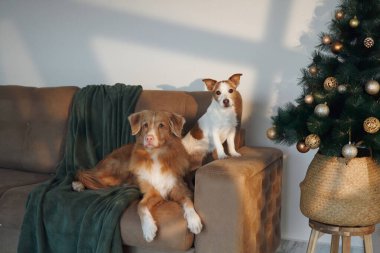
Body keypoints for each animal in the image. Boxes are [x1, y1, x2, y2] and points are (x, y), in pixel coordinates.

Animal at [71, 110, 202, 241]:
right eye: (145, 125)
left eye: (161, 125)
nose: (148, 138)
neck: (156, 156)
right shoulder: (152, 192)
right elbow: (140, 206)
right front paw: (148, 228)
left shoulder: (178, 188)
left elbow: (188, 202)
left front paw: (194, 221)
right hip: (117, 171)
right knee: (88, 174)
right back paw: (77, 185)